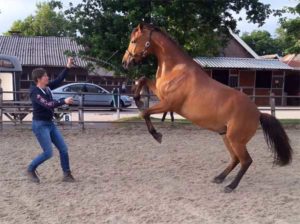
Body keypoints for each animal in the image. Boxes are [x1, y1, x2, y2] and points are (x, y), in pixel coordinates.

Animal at [120, 23, 292, 193]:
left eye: (134, 41)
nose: (124, 62)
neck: (176, 69)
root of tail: (258, 113)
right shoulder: (160, 94)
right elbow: (143, 80)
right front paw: (137, 99)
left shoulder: (168, 104)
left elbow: (144, 113)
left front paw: (157, 135)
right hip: (226, 137)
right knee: (235, 159)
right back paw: (219, 178)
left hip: (236, 140)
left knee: (246, 161)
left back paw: (230, 186)